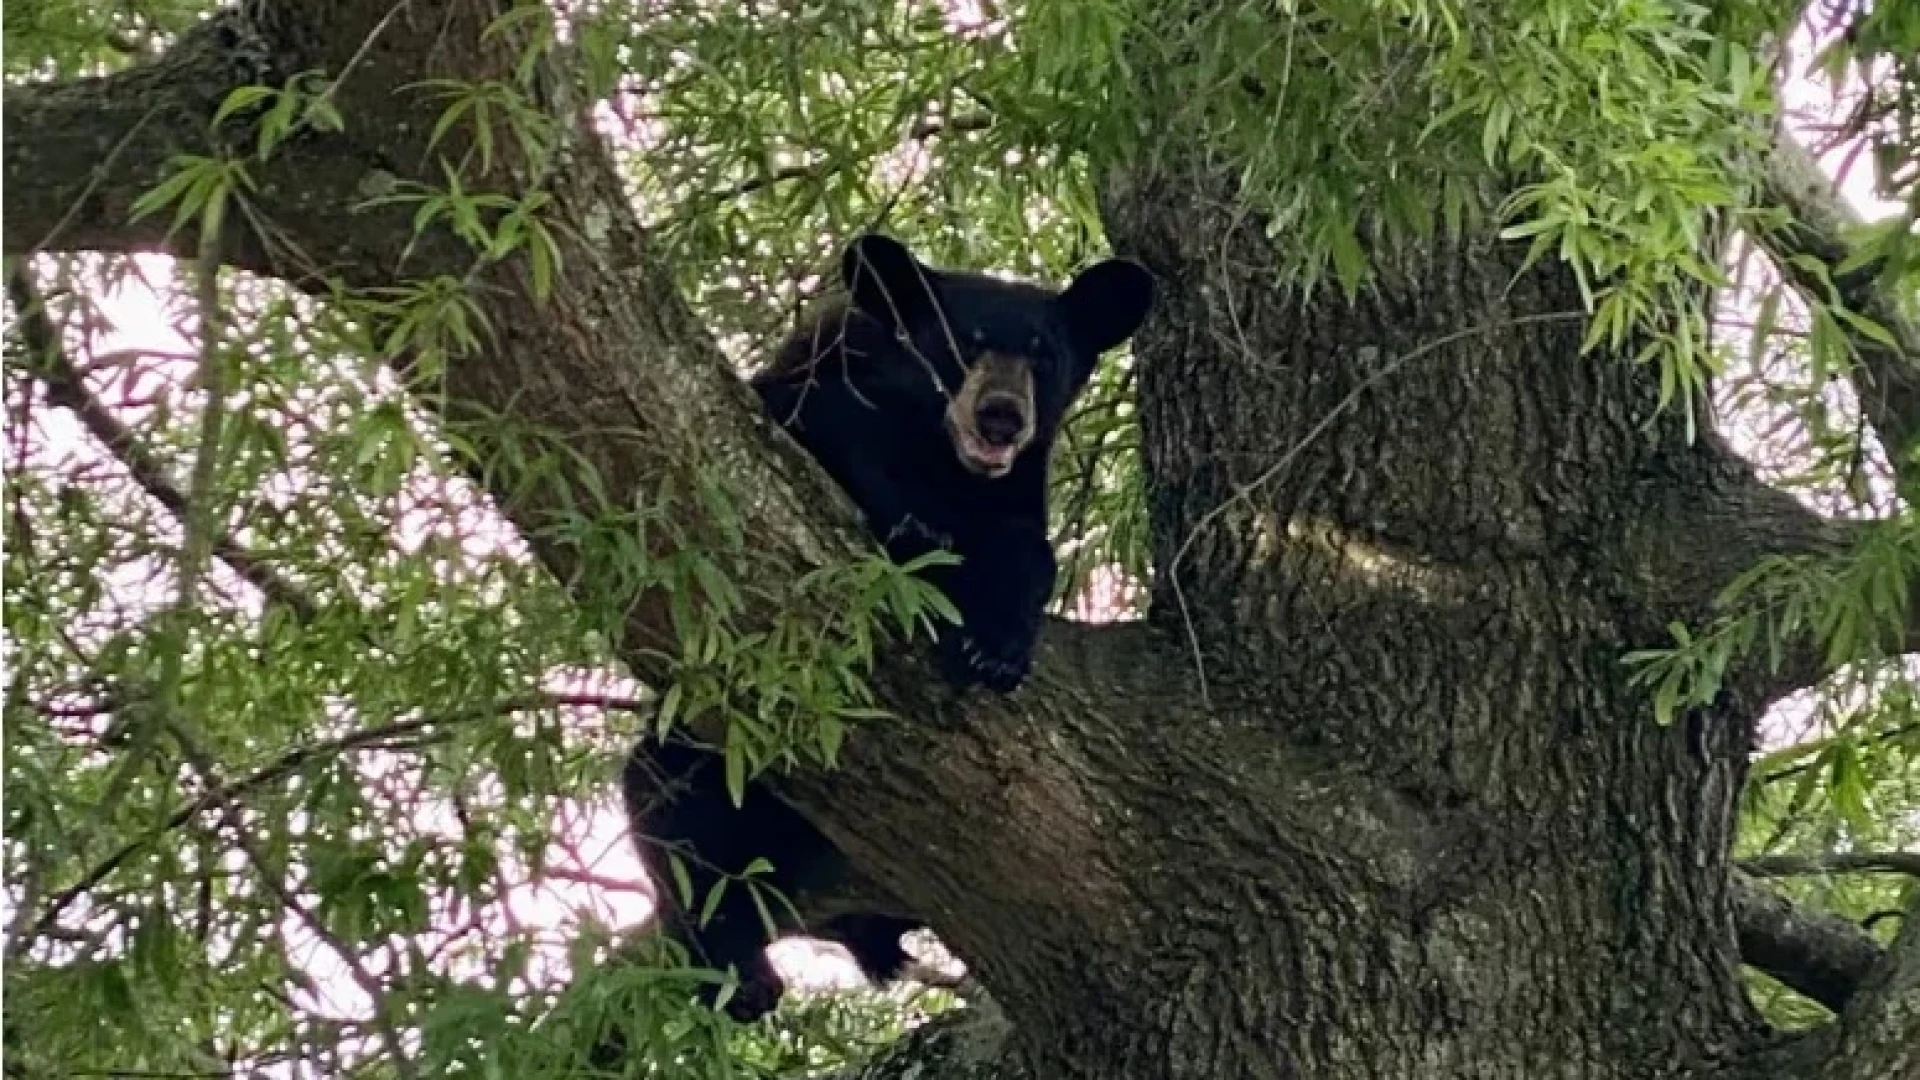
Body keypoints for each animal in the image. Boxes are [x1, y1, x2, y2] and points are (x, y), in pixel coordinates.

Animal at [622, 233, 1144, 1014]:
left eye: (1044, 355)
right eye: (964, 343)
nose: (1000, 416)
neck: (938, 454)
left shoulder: (1016, 491)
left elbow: (1029, 552)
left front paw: (994, 645)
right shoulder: (814, 390)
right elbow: (819, 436)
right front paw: (913, 530)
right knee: (668, 801)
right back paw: (742, 970)